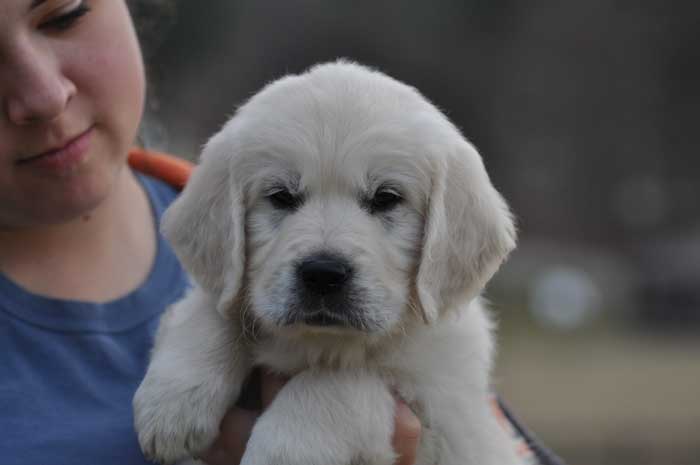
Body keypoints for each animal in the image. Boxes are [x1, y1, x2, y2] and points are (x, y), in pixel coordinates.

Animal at [134, 61, 524, 464]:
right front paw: (174, 400)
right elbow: (210, 307)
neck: (321, 342)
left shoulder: (440, 408)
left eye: (386, 198)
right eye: (281, 196)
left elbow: (340, 381)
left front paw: (283, 449)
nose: (322, 274)